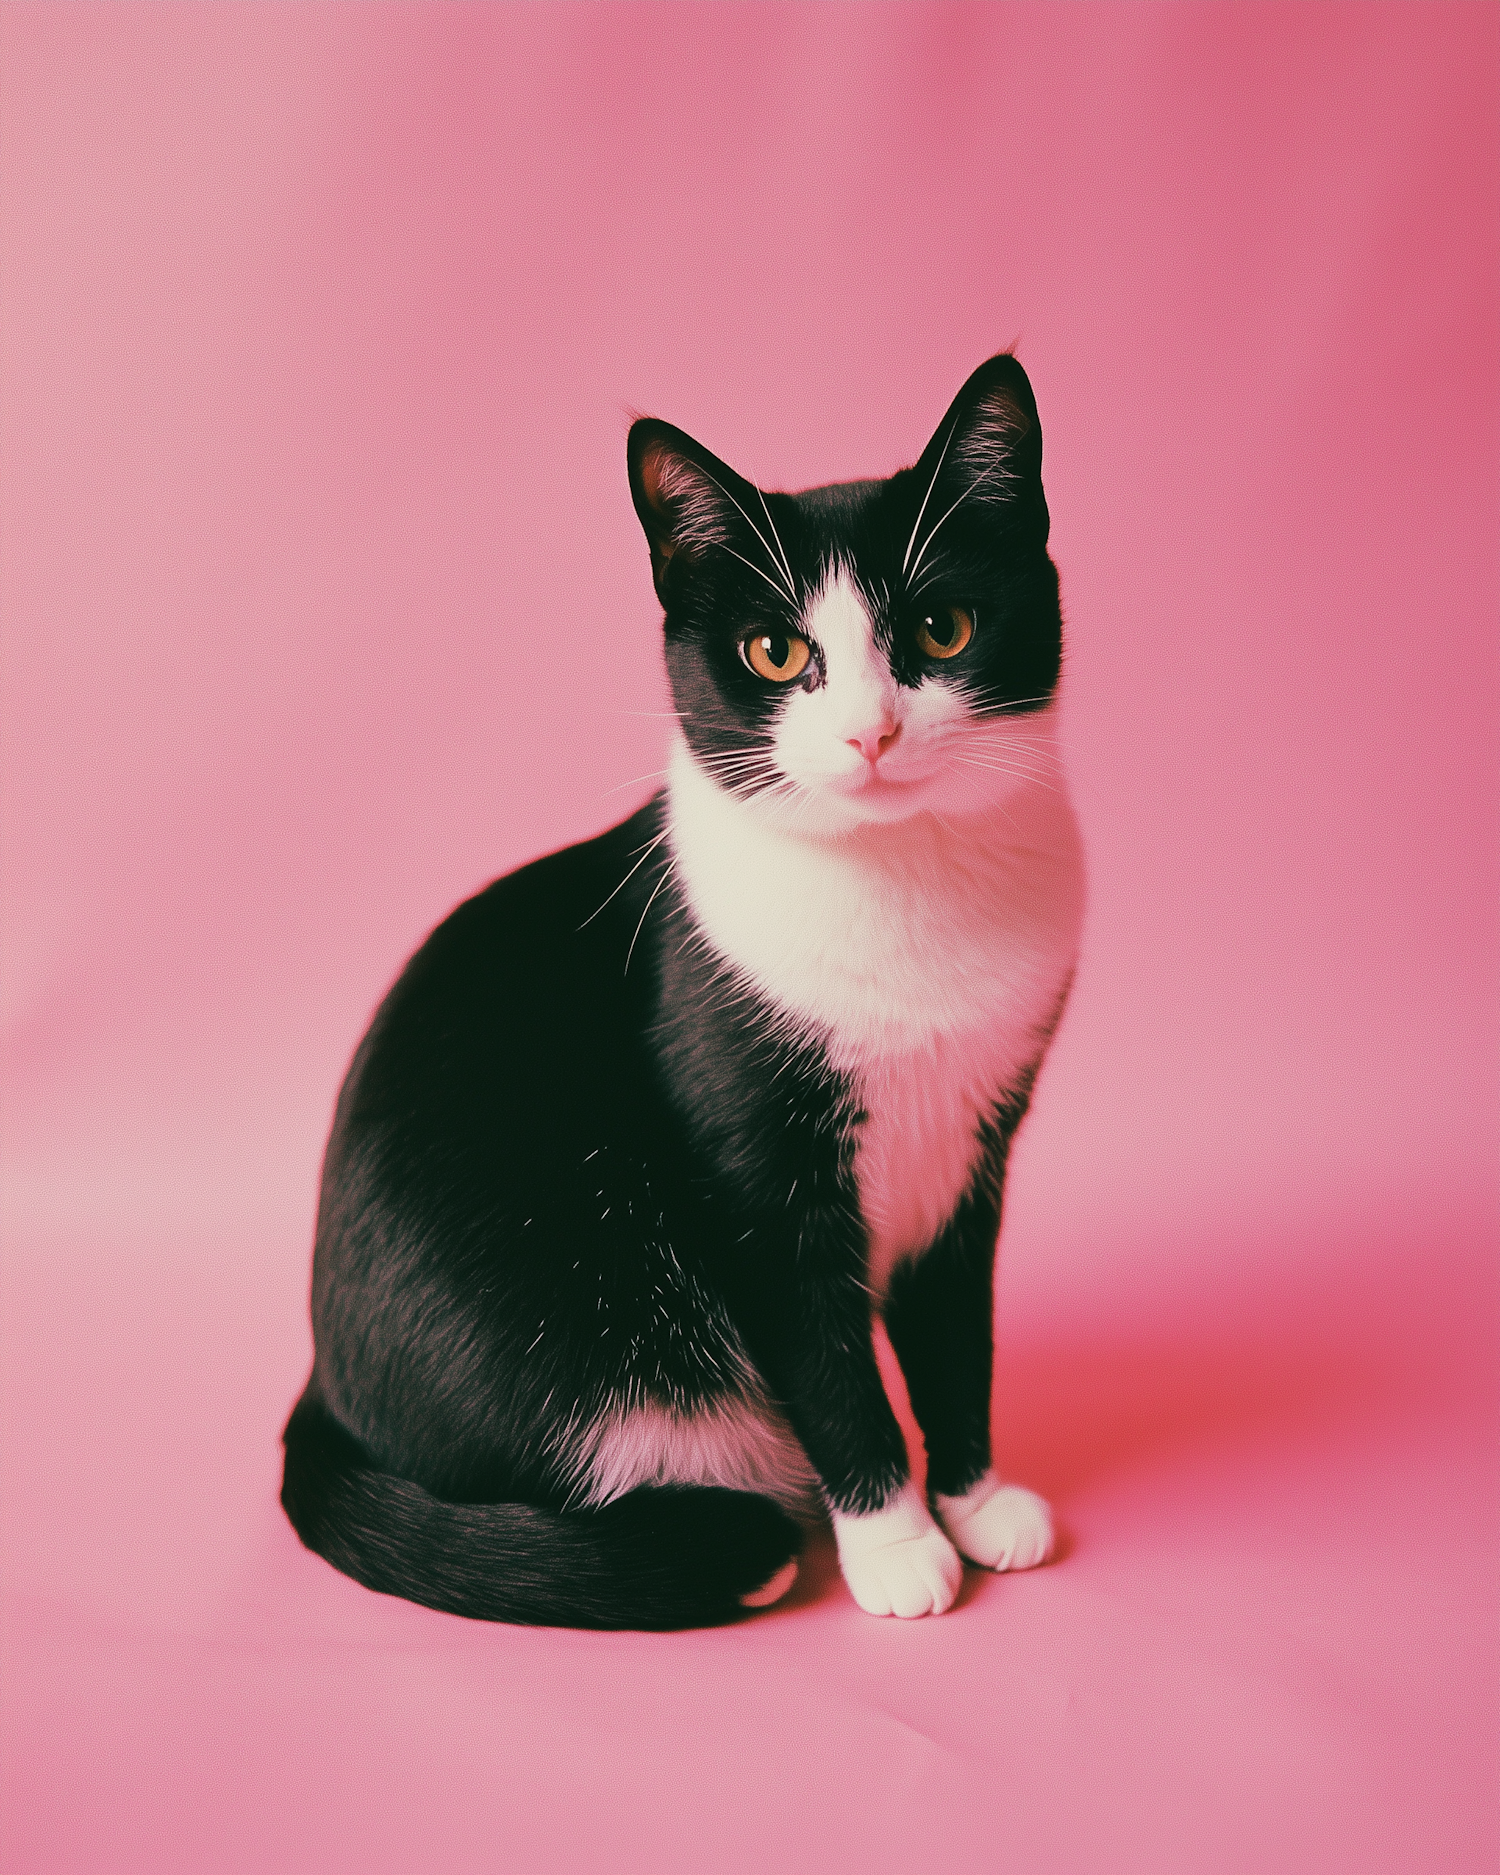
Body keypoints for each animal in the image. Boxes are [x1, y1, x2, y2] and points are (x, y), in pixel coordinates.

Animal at [277, 352, 1080, 1627]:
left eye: (942, 627)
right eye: (775, 655)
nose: (870, 734)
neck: (903, 887)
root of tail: (317, 1398)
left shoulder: (979, 1147)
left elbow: (957, 1334)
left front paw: (977, 1498)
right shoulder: (756, 1181)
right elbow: (829, 1363)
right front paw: (896, 1542)